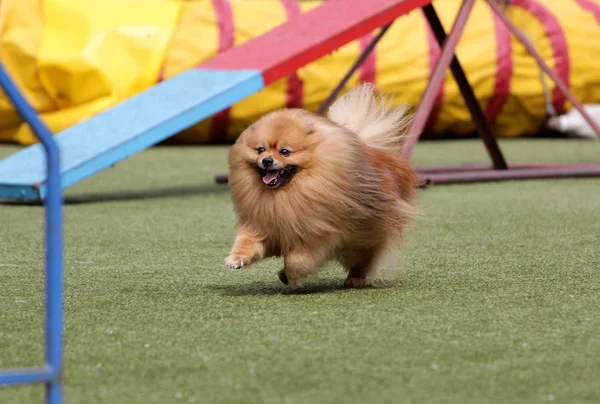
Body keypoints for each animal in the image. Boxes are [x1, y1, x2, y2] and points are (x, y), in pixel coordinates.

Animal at [224, 84, 418, 288]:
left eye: (285, 152)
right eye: (260, 149)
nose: (267, 160)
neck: (285, 194)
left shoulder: (318, 235)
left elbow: (298, 260)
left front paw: (290, 275)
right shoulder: (260, 224)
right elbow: (246, 242)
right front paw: (236, 258)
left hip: (362, 238)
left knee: (363, 260)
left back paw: (354, 279)